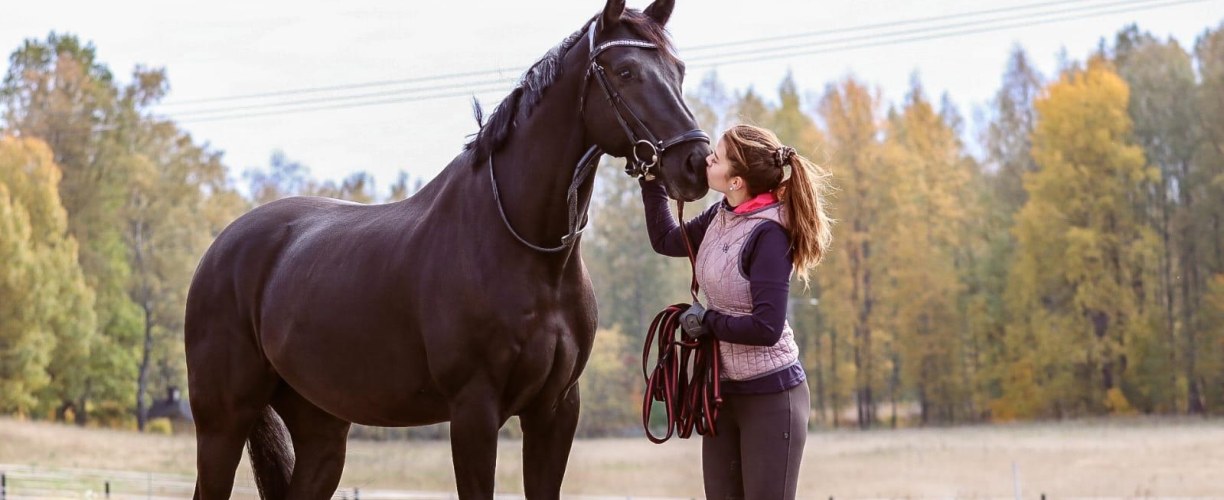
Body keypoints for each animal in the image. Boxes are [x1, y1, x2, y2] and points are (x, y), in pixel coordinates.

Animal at [186, 1, 714, 497]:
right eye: (625, 71)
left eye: (678, 70)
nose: (695, 162)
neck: (529, 252)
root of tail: (221, 248)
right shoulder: (474, 411)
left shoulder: (556, 410)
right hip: (222, 423)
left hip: (322, 430)